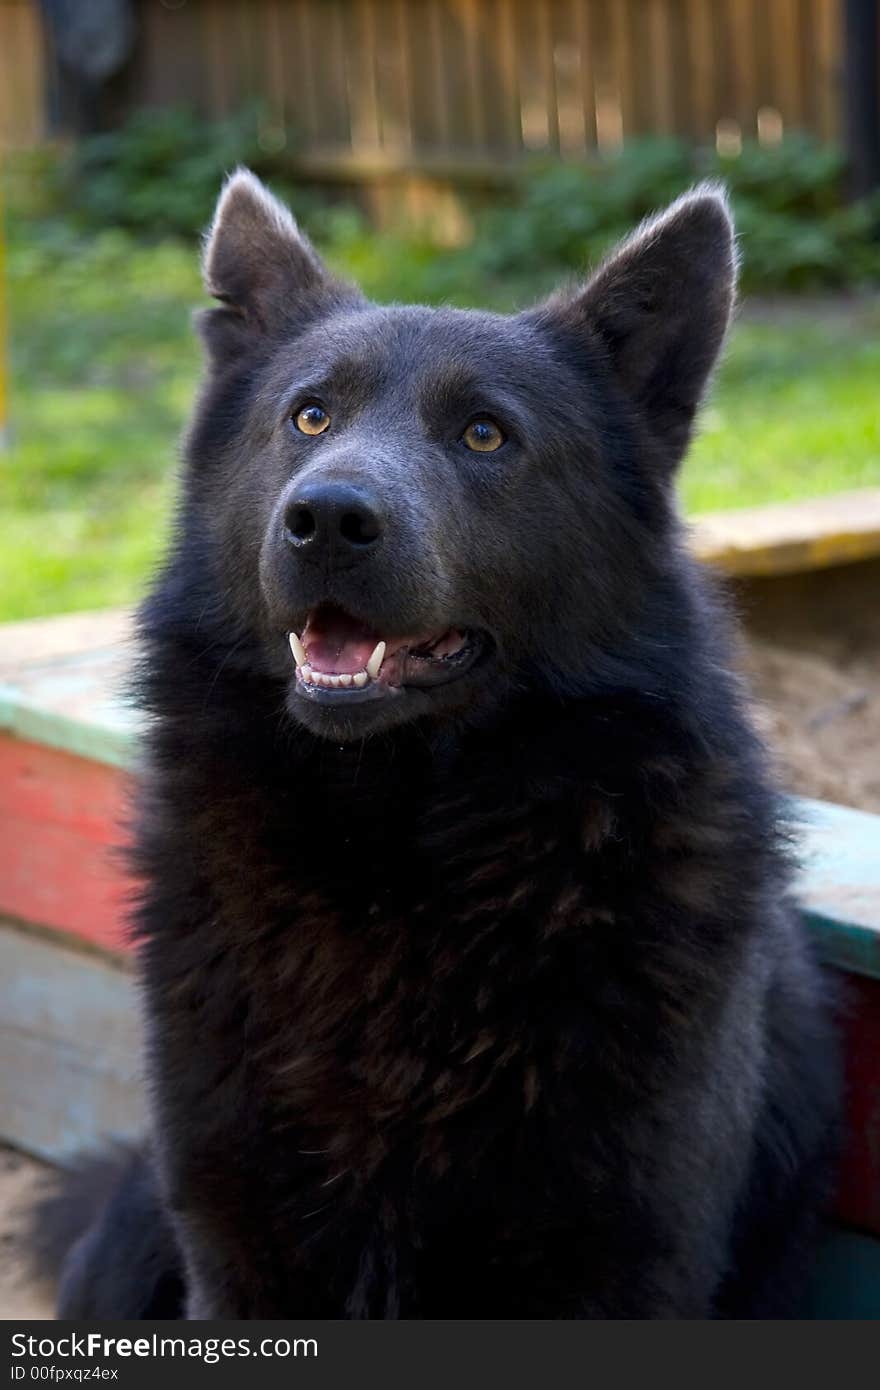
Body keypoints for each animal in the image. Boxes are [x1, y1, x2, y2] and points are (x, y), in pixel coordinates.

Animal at [39, 170, 839, 1312]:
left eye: (485, 435)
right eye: (309, 415)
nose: (327, 519)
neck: (394, 853)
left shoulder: (626, 1251)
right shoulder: (235, 1238)